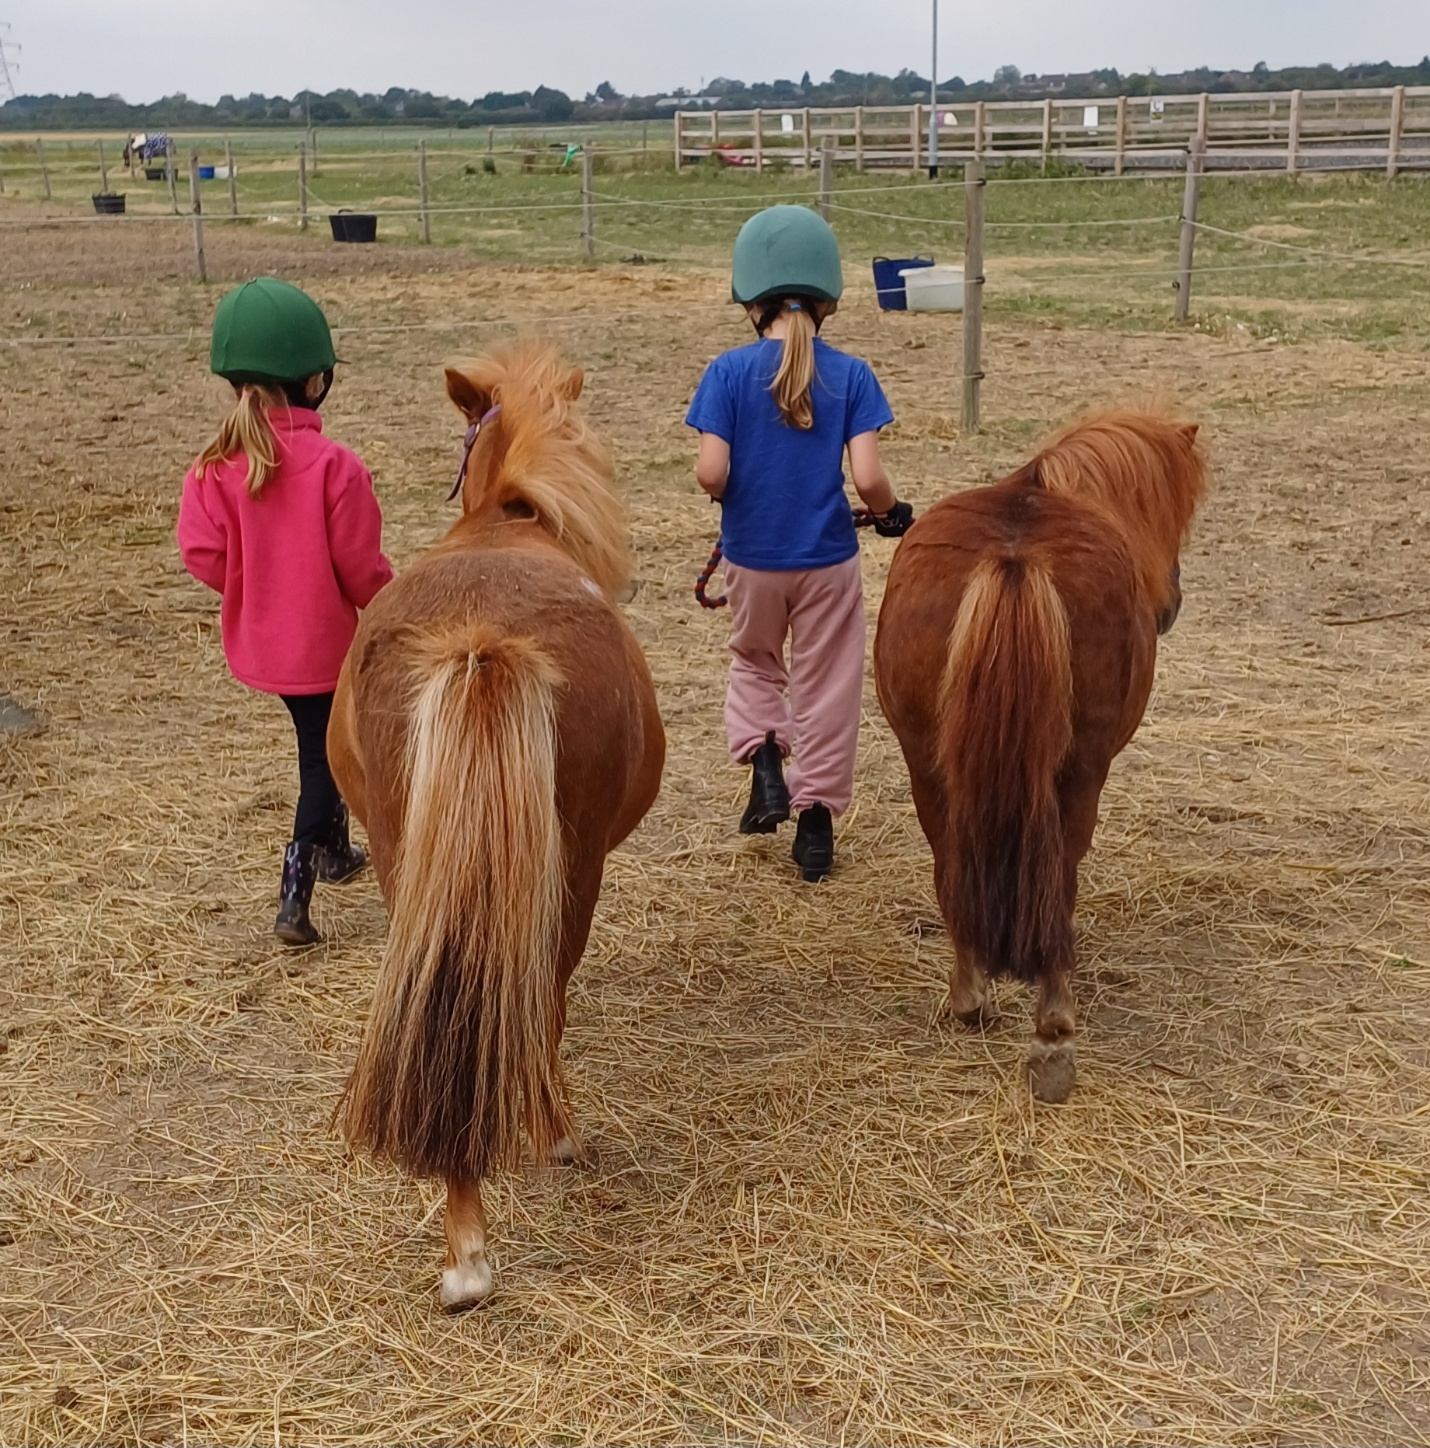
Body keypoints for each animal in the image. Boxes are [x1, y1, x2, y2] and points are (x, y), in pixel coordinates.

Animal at [332, 341, 668, 1314]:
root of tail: (479, 639)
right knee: (537, 995)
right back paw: (547, 1140)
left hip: (412, 869)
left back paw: (464, 1247)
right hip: (572, 871)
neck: (506, 518)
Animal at [874, 414, 1204, 1100]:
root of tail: (1014, 555)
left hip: (929, 766)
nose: (1172, 603)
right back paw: (1052, 1031)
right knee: (1061, 874)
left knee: (951, 863)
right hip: (1079, 775)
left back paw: (969, 996)